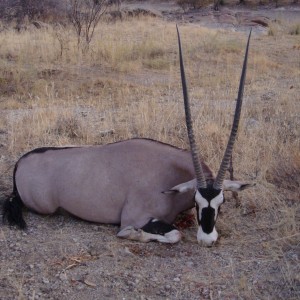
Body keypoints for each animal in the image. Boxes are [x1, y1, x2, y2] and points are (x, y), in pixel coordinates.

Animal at [2, 27, 253, 246]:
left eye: (221, 201)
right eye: (196, 200)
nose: (207, 240)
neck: (169, 175)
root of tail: (21, 162)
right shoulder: (135, 216)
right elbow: (170, 234)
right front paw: (135, 234)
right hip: (43, 207)